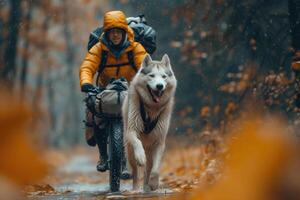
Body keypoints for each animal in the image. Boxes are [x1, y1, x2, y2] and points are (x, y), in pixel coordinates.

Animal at [122, 54, 177, 191]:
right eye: (151, 75)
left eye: (164, 76)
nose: (159, 86)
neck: (152, 108)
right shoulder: (132, 131)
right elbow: (137, 143)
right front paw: (141, 157)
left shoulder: (159, 141)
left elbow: (155, 169)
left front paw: (154, 184)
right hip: (129, 151)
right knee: (136, 172)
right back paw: (136, 189)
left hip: (151, 150)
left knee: (148, 168)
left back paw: (146, 186)